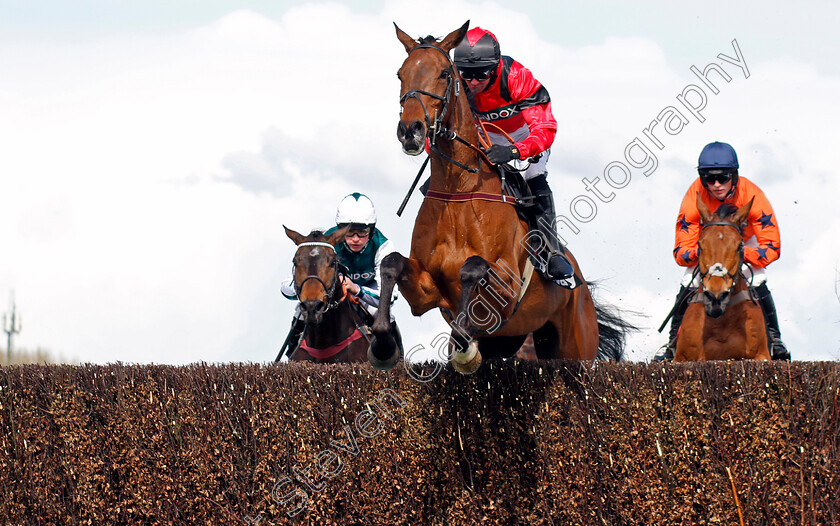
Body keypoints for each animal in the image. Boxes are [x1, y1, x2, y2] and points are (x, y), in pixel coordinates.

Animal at [370, 21, 632, 376]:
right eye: (401, 73)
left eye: (444, 74)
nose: (411, 130)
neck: (459, 190)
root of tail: (584, 288)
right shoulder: (427, 291)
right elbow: (392, 262)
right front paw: (383, 344)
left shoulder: (506, 291)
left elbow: (474, 267)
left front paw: (464, 348)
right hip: (511, 338)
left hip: (576, 345)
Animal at [672, 197, 772, 364]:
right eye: (700, 244)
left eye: (740, 245)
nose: (716, 297)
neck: (720, 322)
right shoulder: (681, 358)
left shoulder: (762, 355)